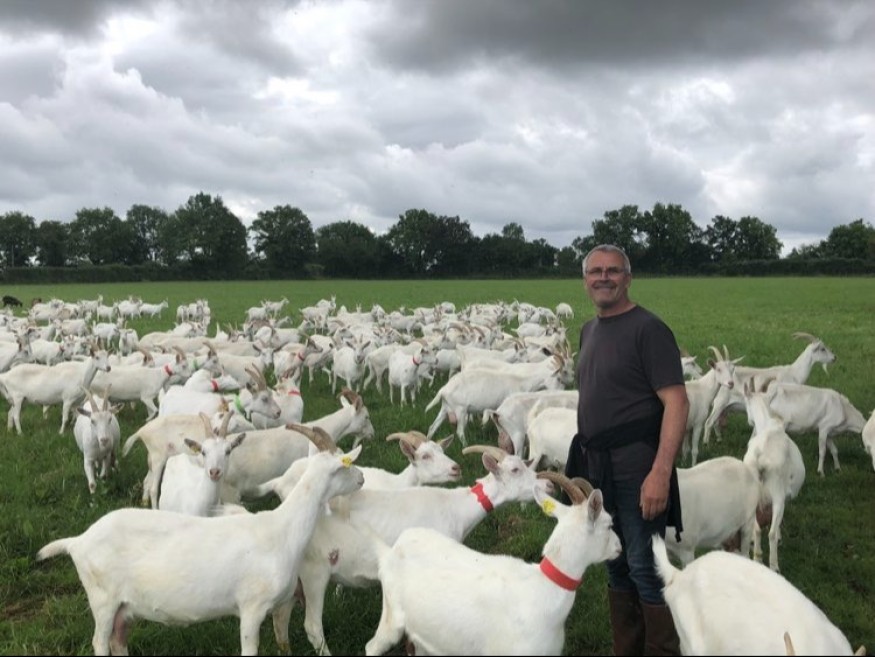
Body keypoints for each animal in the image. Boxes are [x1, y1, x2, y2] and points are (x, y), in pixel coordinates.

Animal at [36, 438, 365, 656]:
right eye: (347, 466)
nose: (362, 478)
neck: (281, 530)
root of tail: (78, 541)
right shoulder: (251, 607)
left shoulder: (278, 605)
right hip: (102, 598)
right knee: (100, 643)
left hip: (122, 607)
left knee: (118, 640)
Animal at [365, 472, 621, 656]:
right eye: (609, 524)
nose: (619, 547)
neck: (543, 588)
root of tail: (390, 551)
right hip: (391, 617)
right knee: (372, 646)